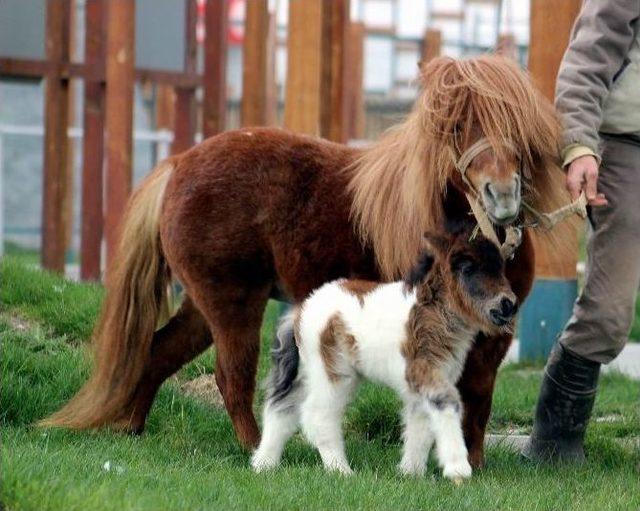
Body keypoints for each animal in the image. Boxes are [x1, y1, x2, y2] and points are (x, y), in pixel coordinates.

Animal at [252, 232, 516, 480]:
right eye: (467, 268)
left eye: (501, 268)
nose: (508, 305)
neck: (429, 312)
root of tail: (301, 310)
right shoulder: (423, 370)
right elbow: (447, 403)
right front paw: (457, 469)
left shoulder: (425, 380)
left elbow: (420, 423)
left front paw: (411, 473)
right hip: (332, 371)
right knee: (318, 416)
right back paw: (342, 471)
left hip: (308, 370)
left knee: (282, 407)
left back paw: (263, 464)